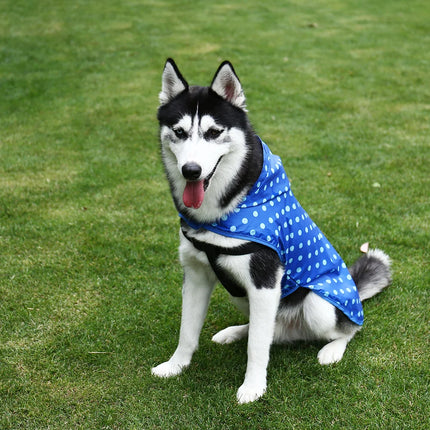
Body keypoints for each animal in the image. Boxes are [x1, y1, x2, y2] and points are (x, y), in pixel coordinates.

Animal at [153, 58, 392, 404]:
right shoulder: (197, 274)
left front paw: (253, 388)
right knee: (265, 329)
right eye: (179, 132)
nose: (191, 171)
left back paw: (332, 349)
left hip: (317, 305)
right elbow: (188, 331)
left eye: (214, 132)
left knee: (347, 329)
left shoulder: (265, 281)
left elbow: (257, 347)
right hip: (240, 294)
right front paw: (176, 366)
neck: (224, 210)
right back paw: (235, 331)